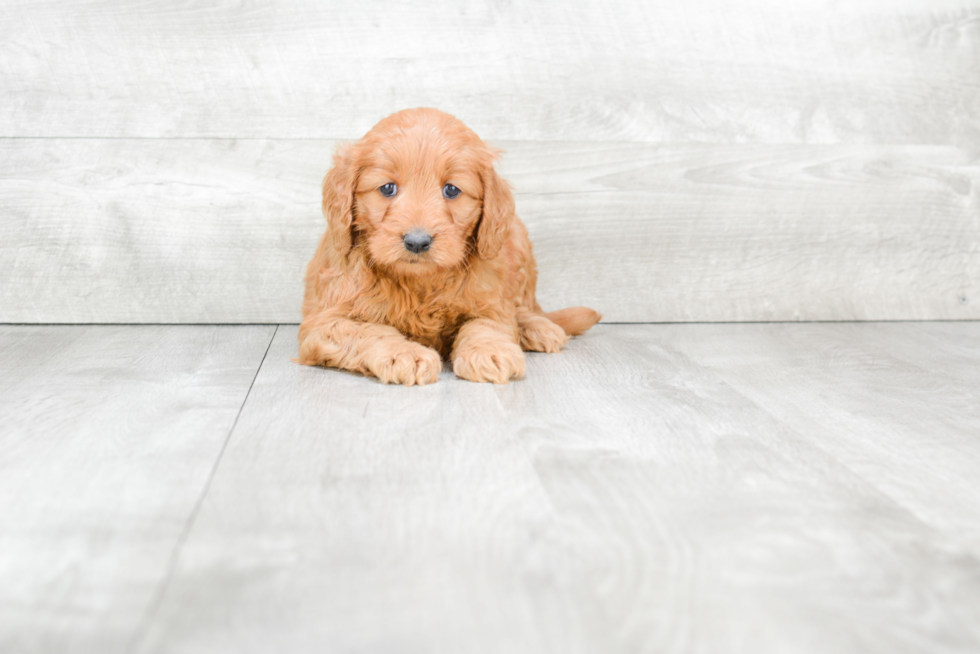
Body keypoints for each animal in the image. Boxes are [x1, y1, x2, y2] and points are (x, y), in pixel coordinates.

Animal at [294, 107, 600, 384]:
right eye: (387, 188)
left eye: (451, 190)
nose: (417, 242)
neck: (420, 283)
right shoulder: (322, 324)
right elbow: (367, 332)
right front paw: (404, 354)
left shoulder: (491, 302)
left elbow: (486, 324)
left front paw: (490, 351)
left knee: (524, 307)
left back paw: (536, 327)